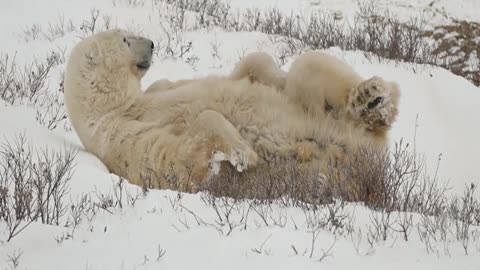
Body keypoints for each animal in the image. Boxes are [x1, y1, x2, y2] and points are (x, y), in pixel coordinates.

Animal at [62, 30, 372, 192]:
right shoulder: (128, 139)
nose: (151, 43)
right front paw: (245, 154)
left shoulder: (155, 92)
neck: (114, 106)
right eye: (125, 39)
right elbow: (186, 158)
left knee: (297, 67)